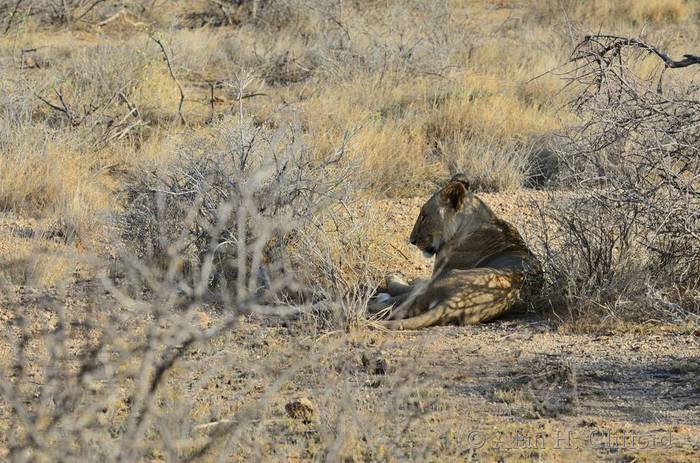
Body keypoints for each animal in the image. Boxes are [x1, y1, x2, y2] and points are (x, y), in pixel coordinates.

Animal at [369, 174, 542, 330]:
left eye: (424, 216)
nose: (412, 240)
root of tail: (454, 302)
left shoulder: (437, 274)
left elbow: (411, 286)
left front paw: (394, 277)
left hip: (446, 277)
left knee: (399, 302)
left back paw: (377, 298)